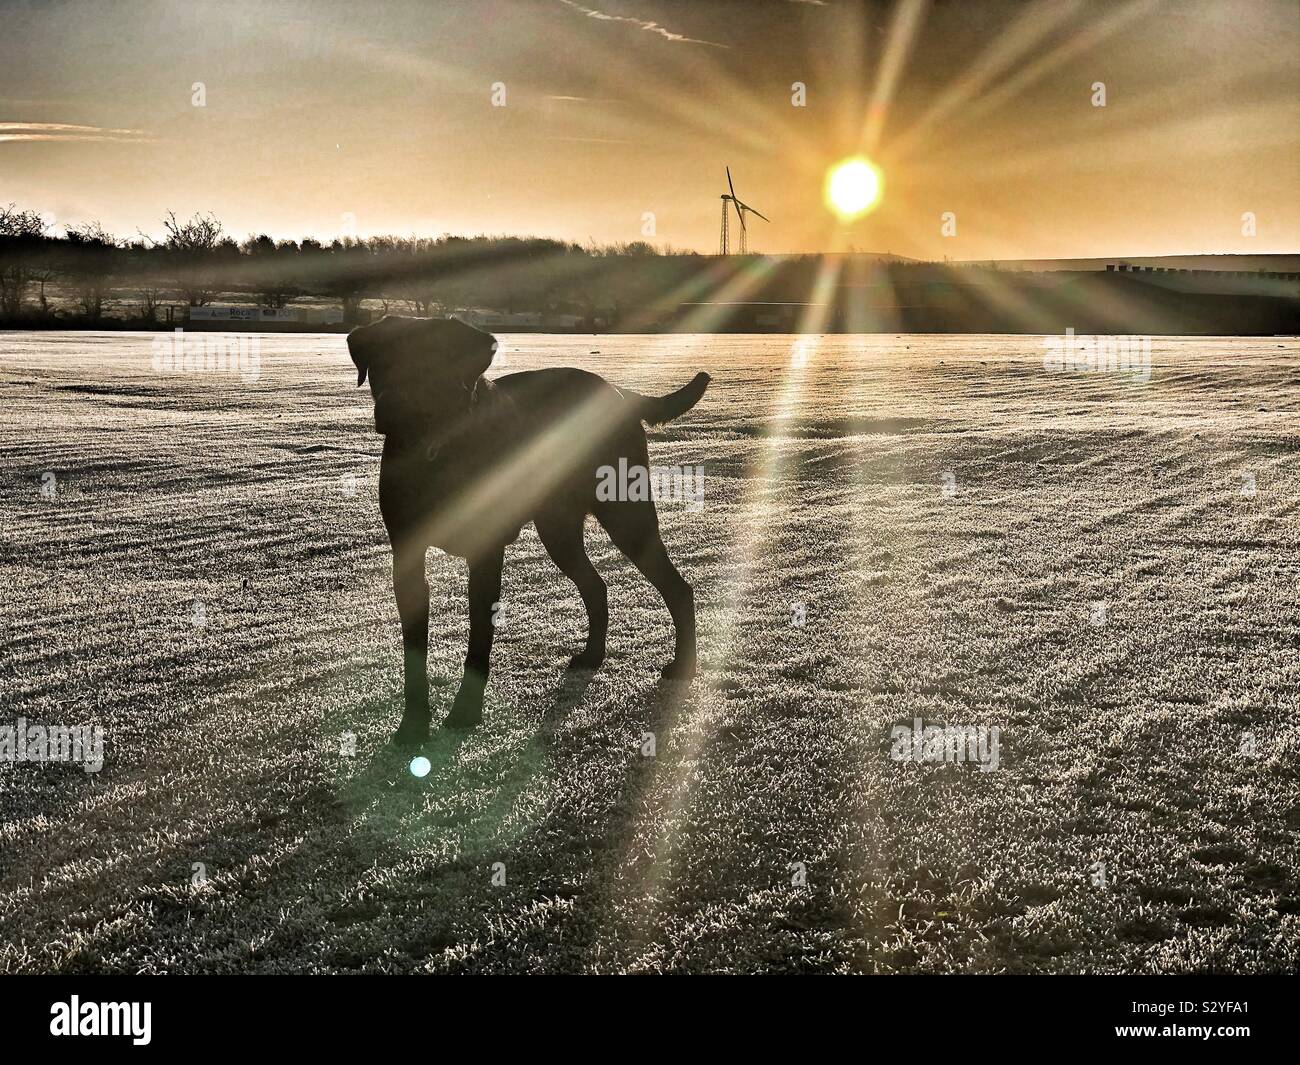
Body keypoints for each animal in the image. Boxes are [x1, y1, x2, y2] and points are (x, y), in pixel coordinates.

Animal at [345, 315, 712, 743]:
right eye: (381, 362)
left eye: (433, 364)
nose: (391, 408)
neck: (439, 449)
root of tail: (619, 393)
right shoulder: (407, 555)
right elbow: (414, 649)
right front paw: (414, 724)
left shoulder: (485, 555)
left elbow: (479, 638)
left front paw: (465, 711)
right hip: (558, 528)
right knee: (596, 586)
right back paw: (593, 655)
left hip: (626, 514)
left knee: (677, 587)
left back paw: (683, 664)